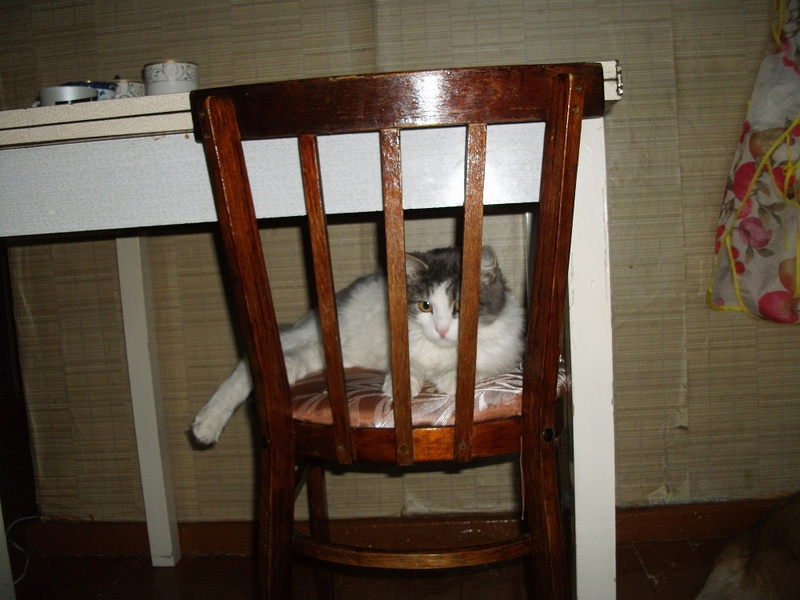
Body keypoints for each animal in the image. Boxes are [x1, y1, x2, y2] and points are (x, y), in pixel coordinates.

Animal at [191, 246, 525, 445]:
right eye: (426, 306)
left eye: (459, 306)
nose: (441, 330)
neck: (439, 350)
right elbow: (410, 364)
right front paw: (401, 385)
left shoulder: (506, 349)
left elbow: (479, 362)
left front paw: (450, 378)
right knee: (247, 364)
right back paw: (206, 423)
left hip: (322, 353)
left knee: (289, 361)